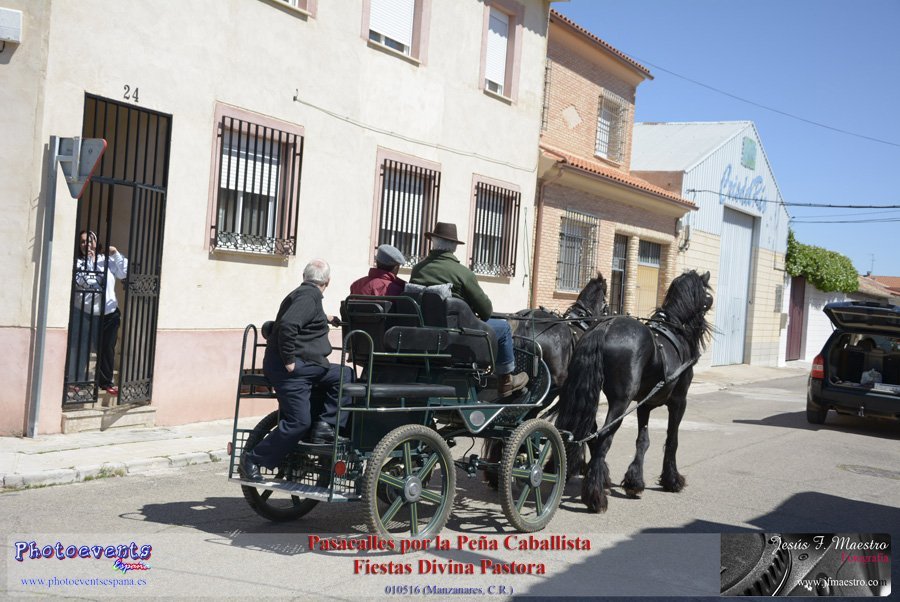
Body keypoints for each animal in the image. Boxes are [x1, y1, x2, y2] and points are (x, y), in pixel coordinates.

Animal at [554, 270, 713, 513]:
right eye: (708, 295)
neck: (675, 329)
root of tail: (604, 327)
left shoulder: (644, 404)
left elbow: (643, 440)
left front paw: (634, 482)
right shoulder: (679, 401)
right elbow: (672, 439)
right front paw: (672, 480)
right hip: (621, 402)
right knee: (603, 438)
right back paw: (595, 495)